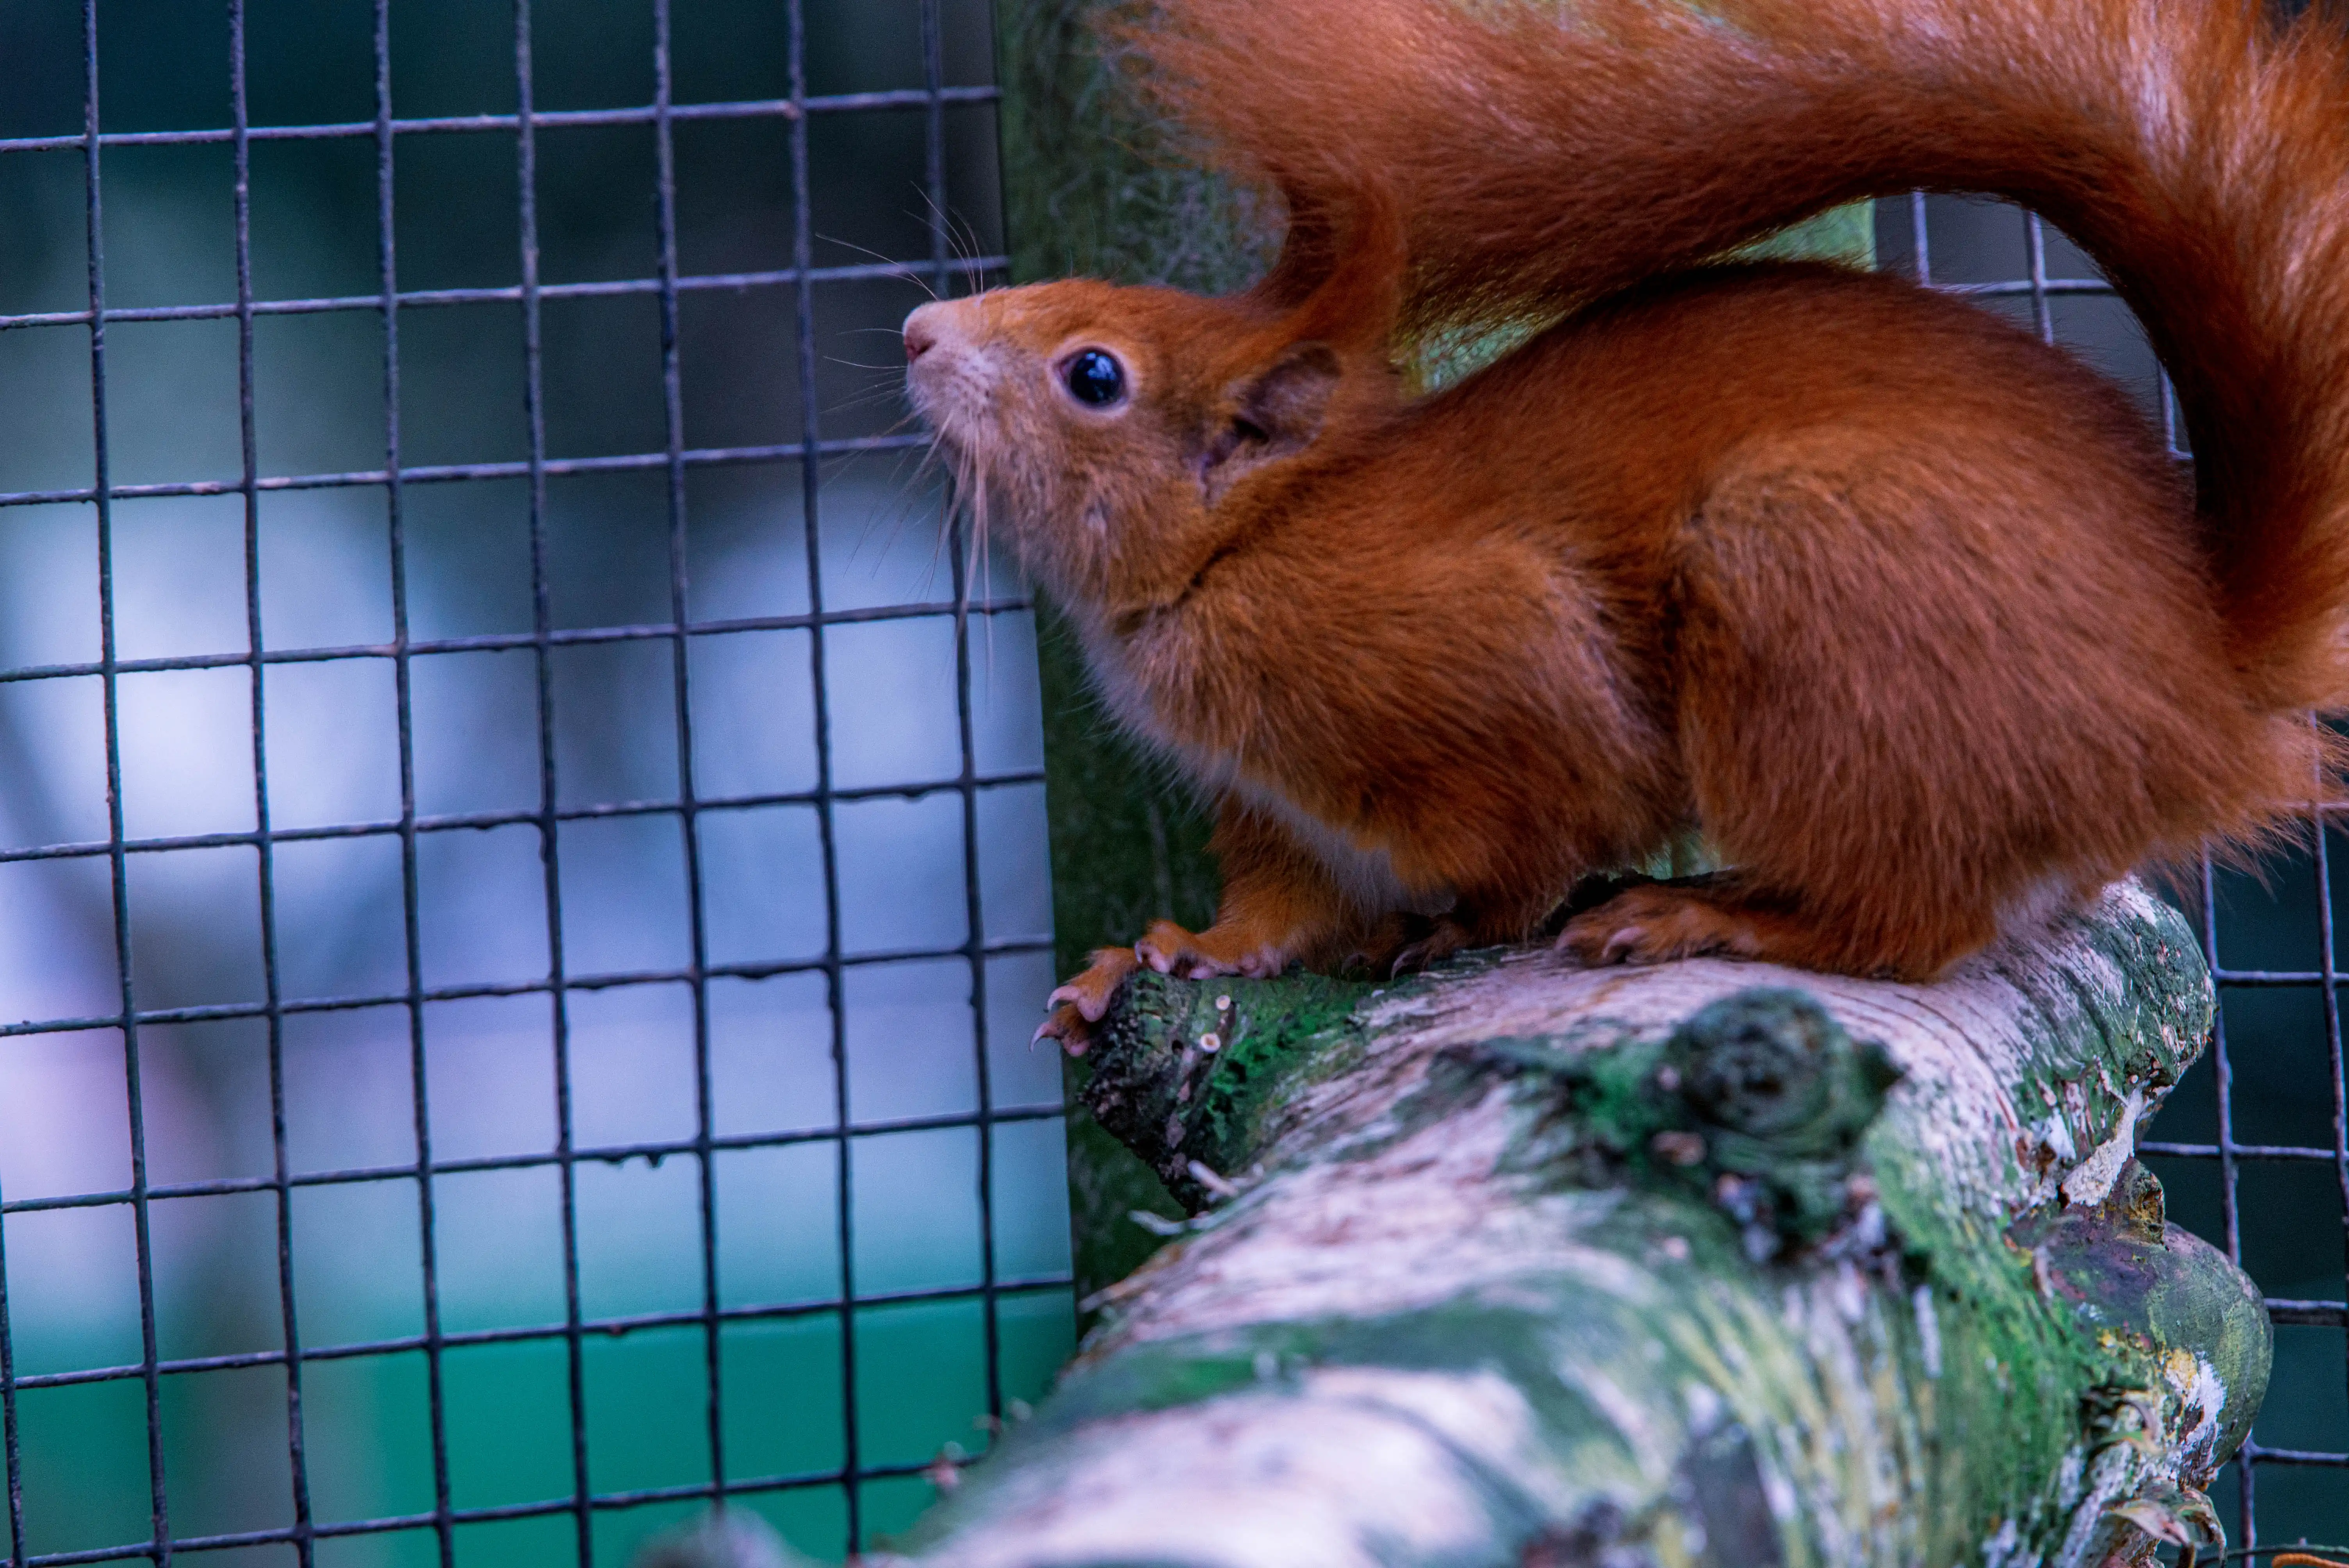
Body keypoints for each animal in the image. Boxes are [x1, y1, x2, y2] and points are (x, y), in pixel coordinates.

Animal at [902, 0, 2349, 1049]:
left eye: (1094, 374)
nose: (917, 331)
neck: (1250, 550)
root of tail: (2203, 696)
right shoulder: (1279, 808)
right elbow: (1275, 911)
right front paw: (1162, 956)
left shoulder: (1492, 664)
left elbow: (1534, 834)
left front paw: (1442, 931)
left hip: (1810, 585)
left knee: (1911, 922)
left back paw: (1717, 918)